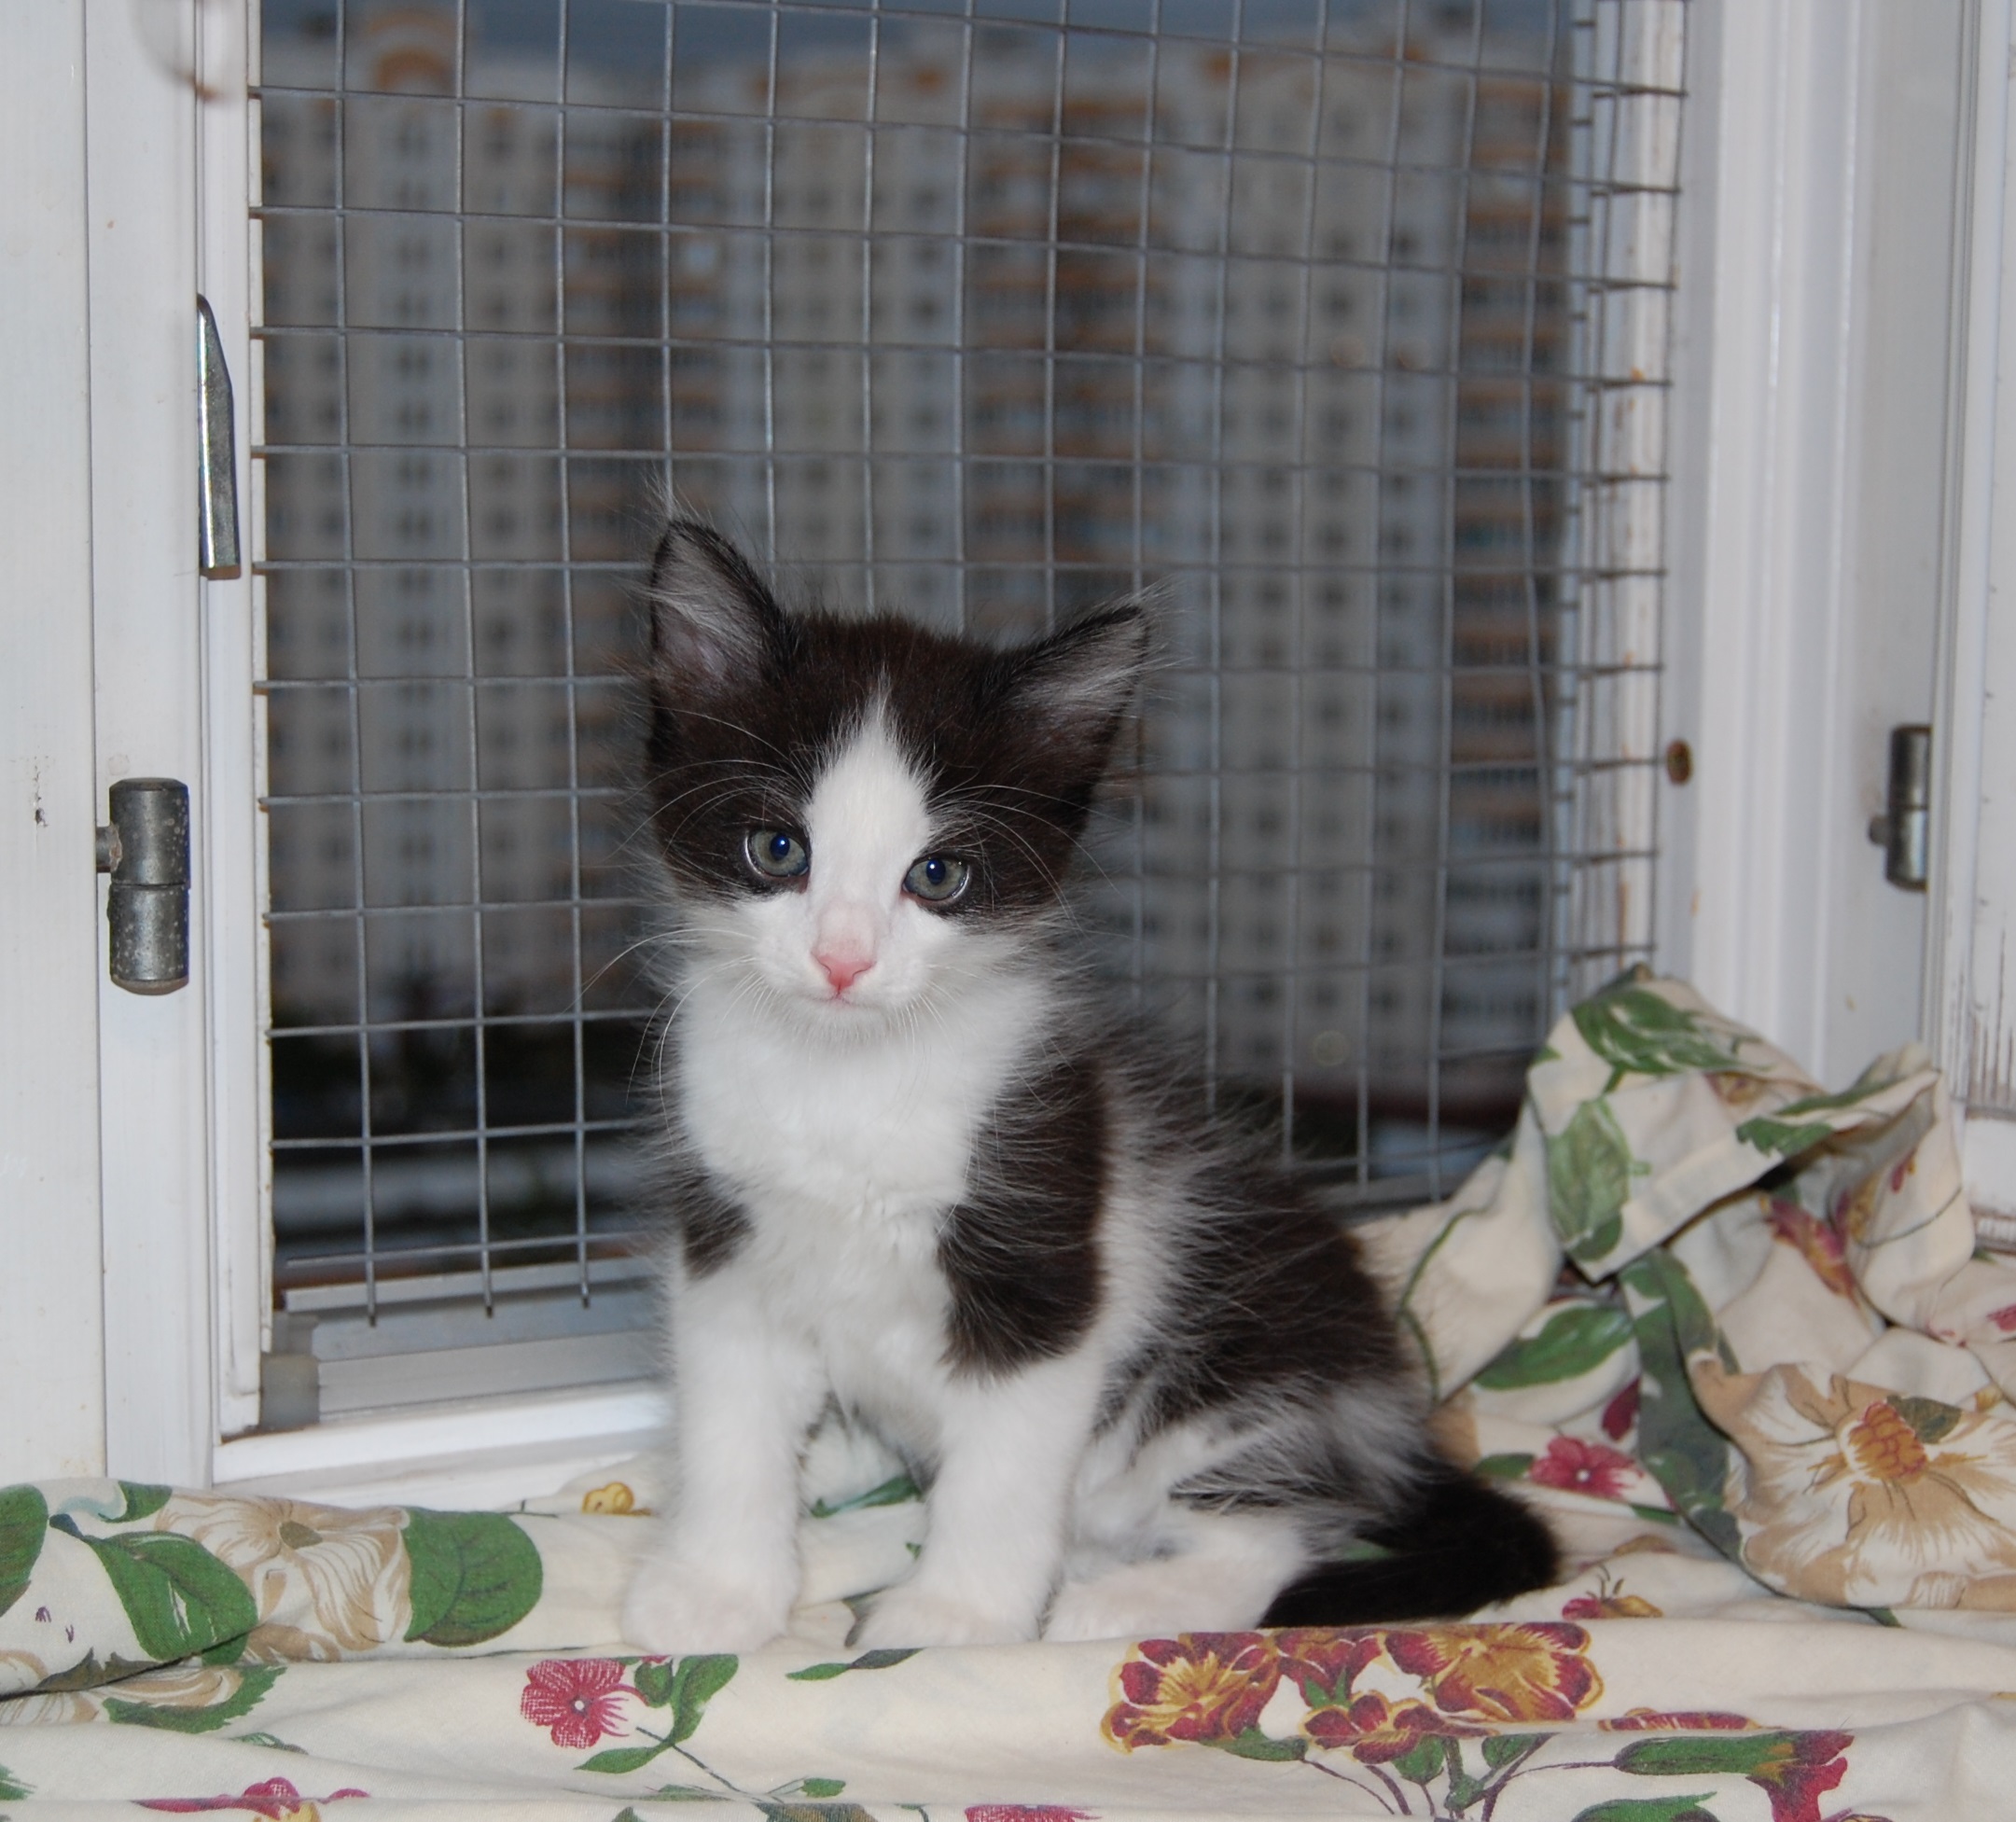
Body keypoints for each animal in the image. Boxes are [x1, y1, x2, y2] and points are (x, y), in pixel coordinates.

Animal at [621, 517, 1559, 1651]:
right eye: (776, 847)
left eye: (937, 875)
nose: (843, 960)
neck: (848, 1079)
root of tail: (1389, 1411)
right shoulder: (729, 1241)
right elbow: (733, 1419)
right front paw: (718, 1588)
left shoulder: (1045, 1241)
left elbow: (1003, 1470)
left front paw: (955, 1616)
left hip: (1236, 1370)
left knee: (1274, 1531)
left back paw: (1116, 1600)